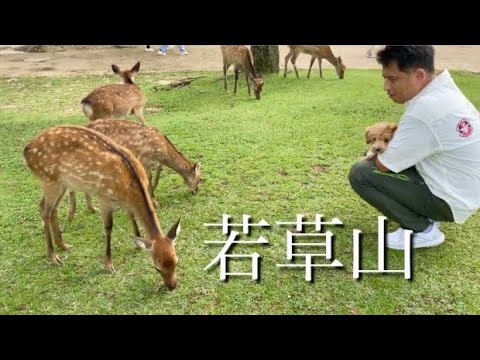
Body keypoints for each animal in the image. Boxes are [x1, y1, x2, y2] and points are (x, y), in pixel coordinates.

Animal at [23, 126, 180, 290]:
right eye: (157, 267)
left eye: (176, 262)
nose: (172, 286)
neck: (129, 187)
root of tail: (26, 151)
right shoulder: (104, 197)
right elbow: (108, 228)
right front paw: (108, 265)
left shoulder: (126, 202)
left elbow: (131, 217)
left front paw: (137, 243)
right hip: (49, 180)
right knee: (45, 212)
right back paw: (54, 257)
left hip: (62, 184)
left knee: (50, 208)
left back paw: (64, 245)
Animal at [68, 119, 202, 219]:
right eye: (201, 179)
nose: (196, 191)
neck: (163, 150)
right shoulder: (143, 158)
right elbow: (148, 179)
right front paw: (155, 203)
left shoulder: (154, 163)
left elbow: (157, 175)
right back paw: (73, 214)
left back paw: (92, 209)